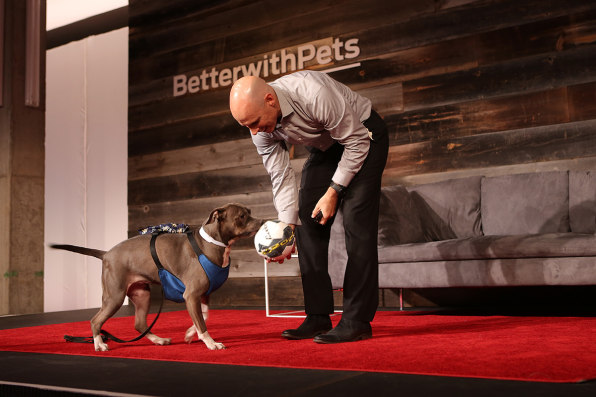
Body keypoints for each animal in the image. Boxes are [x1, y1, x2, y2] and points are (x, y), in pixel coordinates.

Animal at [50, 204, 264, 350]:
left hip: (141, 295)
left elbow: (203, 316)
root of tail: (106, 253)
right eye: (242, 216)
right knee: (96, 320)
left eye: (250, 212)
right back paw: (99, 344)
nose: (262, 221)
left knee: (139, 323)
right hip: (114, 296)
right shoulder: (191, 295)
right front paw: (211, 343)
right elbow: (202, 322)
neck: (211, 243)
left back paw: (158, 340)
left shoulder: (202, 295)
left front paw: (189, 333)